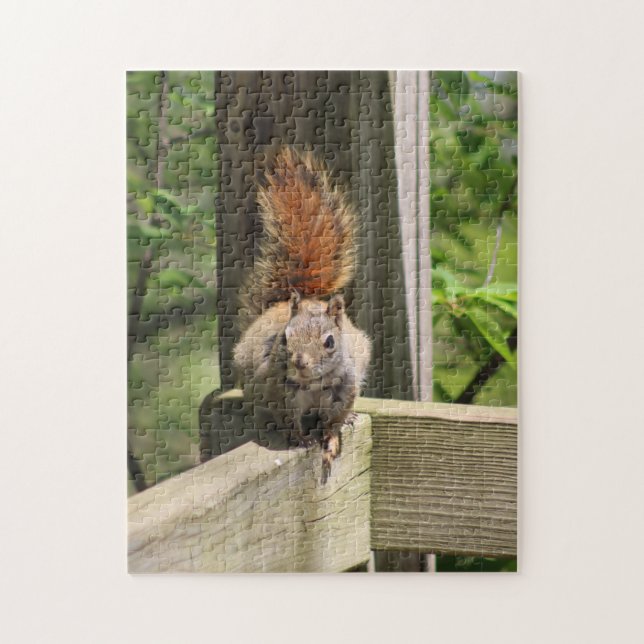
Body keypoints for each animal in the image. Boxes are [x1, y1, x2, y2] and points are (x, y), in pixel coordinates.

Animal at [233, 148, 372, 473]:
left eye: (330, 342)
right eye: (284, 338)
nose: (300, 362)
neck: (313, 384)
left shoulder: (345, 390)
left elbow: (333, 421)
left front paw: (331, 439)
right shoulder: (277, 392)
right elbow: (289, 420)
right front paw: (300, 439)